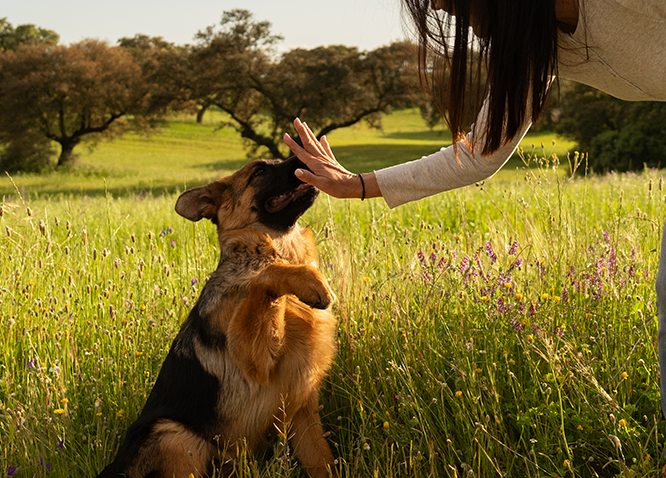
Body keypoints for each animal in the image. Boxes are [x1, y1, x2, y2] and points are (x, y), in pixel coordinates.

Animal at [96, 156, 338, 474]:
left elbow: (324, 462)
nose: (309, 156)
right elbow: (267, 276)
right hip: (175, 435)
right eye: (260, 170)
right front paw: (309, 281)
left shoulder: (304, 413)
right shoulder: (255, 359)